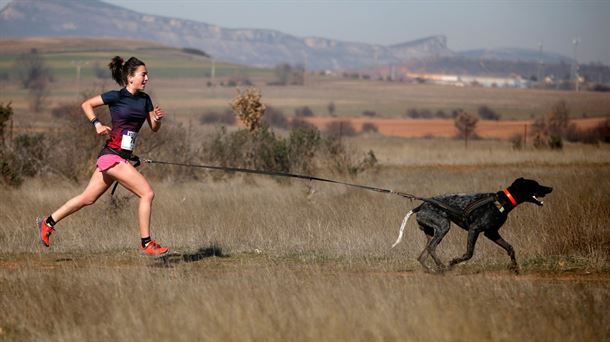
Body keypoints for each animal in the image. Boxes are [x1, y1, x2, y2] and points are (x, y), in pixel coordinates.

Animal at [390, 178, 552, 274]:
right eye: (535, 185)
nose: (550, 188)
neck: (501, 201)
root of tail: (421, 206)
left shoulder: (492, 233)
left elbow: (510, 248)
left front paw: (515, 267)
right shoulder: (475, 229)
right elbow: (469, 253)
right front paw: (453, 262)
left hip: (432, 232)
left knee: (422, 256)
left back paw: (432, 269)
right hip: (443, 226)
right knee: (431, 248)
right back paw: (442, 267)